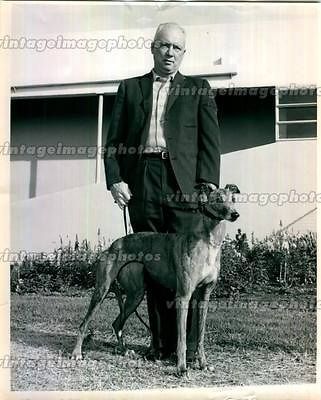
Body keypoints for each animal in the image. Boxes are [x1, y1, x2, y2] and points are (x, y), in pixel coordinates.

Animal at [71, 184, 239, 376]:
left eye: (233, 199)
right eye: (218, 199)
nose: (235, 214)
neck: (209, 243)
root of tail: (113, 245)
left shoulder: (204, 296)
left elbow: (200, 336)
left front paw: (203, 364)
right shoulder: (183, 296)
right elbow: (181, 338)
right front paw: (181, 368)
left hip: (135, 295)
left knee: (117, 323)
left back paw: (124, 350)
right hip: (102, 290)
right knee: (84, 323)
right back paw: (76, 353)